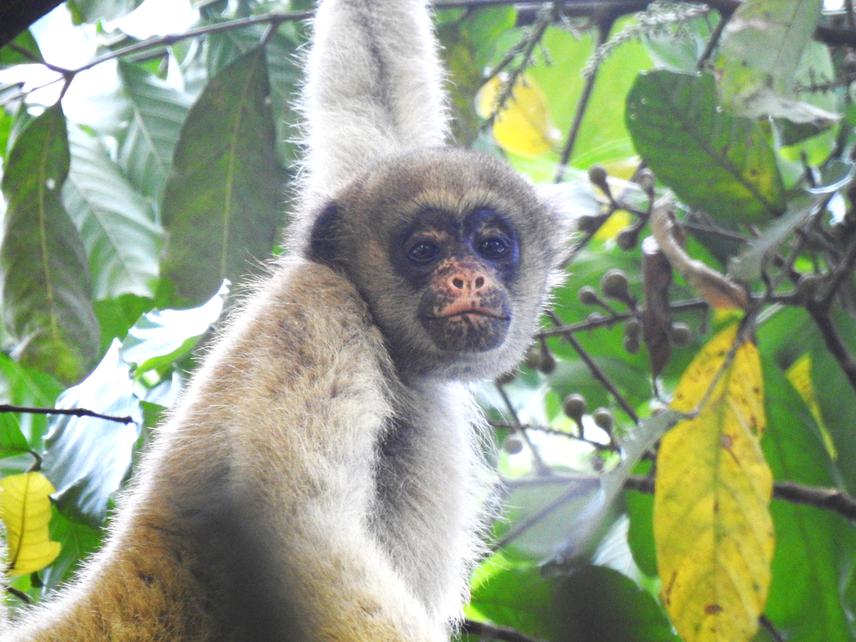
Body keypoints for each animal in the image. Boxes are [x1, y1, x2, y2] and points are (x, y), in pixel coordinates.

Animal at [1, 1, 576, 640]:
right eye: (423, 251)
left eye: (493, 245)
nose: (467, 279)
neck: (392, 350)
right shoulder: (320, 308)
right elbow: (297, 526)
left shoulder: (345, 202)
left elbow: (369, 81)